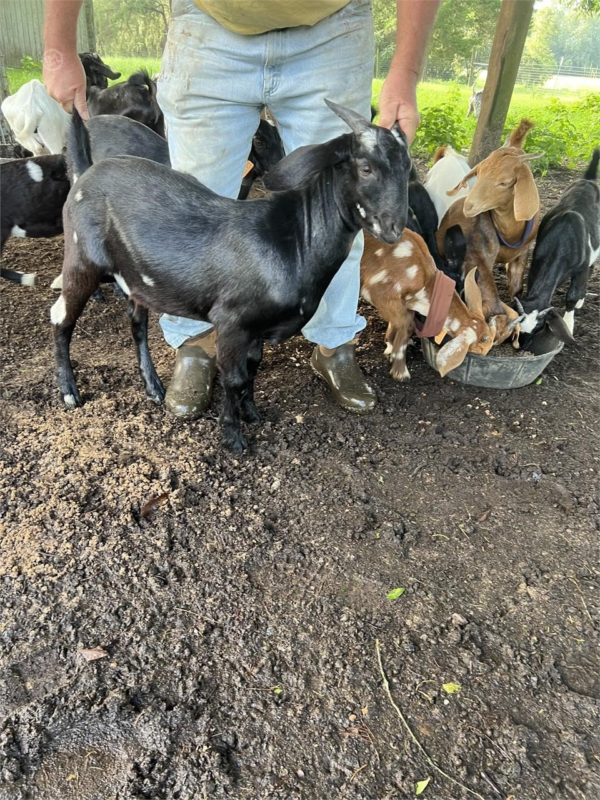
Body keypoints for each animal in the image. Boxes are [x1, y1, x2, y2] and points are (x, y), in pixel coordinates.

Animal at [52, 102, 412, 450]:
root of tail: (86, 171)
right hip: (82, 259)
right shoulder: (231, 321)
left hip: (137, 278)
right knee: (61, 315)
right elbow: (233, 378)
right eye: (365, 168)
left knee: (136, 320)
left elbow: (253, 368)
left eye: (407, 166)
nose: (394, 226)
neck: (296, 241)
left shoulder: (255, 328)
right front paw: (233, 438)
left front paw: (252, 412)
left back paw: (153, 387)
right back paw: (69, 392)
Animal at [358, 230, 494, 380]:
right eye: (479, 349)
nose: (484, 356)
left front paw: (389, 345)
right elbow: (408, 325)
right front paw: (400, 372)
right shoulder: (381, 294)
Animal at [516, 150, 596, 350]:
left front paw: (569, 324)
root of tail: (589, 179)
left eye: (539, 326)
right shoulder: (536, 261)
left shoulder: (580, 268)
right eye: (518, 322)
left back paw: (582, 300)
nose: (521, 345)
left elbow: (572, 296)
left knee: (591, 269)